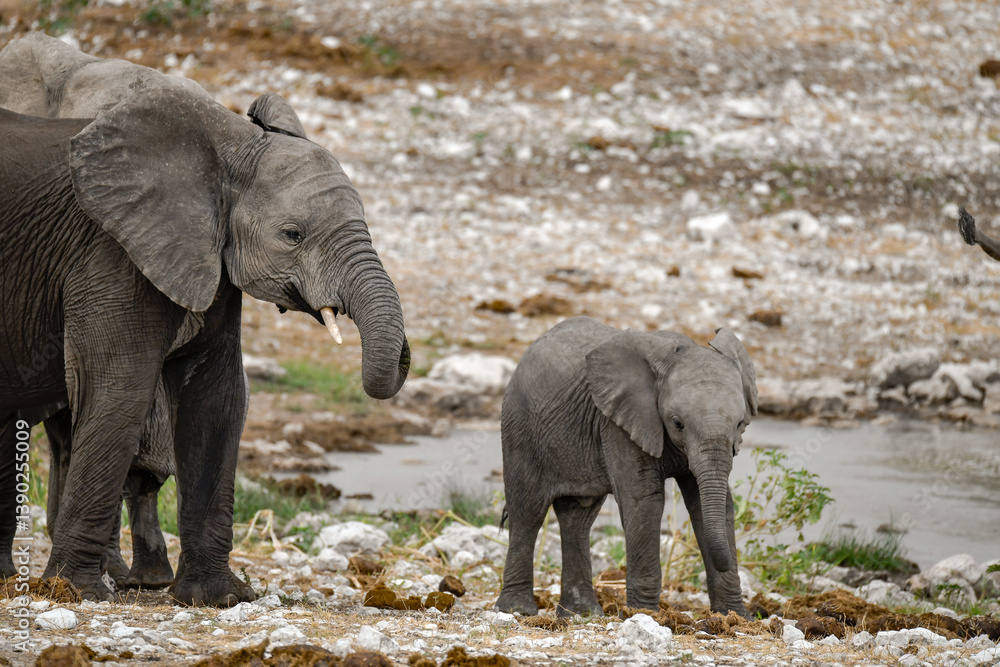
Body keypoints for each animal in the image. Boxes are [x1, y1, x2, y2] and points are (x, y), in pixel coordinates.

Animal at [0, 85, 409, 605]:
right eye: (292, 235)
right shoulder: (109, 253)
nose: (403, 357)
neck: (228, 146)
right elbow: (119, 390)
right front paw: (75, 591)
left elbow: (215, 397)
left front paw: (218, 597)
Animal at [495, 316, 757, 618]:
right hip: (520, 425)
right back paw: (517, 610)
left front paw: (735, 617)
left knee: (578, 517)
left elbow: (709, 504)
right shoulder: (619, 423)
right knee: (528, 511)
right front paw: (643, 614)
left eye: (740, 423)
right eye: (677, 423)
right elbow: (644, 500)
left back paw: (581, 614)